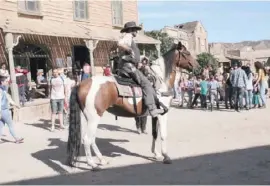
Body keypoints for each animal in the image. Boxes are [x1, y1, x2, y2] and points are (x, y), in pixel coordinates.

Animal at [66, 41, 199, 171]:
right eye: (187, 53)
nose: (198, 67)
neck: (160, 81)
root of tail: (80, 84)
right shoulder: (163, 114)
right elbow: (163, 135)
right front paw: (166, 156)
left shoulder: (155, 115)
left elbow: (155, 134)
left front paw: (156, 154)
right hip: (94, 117)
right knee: (87, 139)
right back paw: (92, 164)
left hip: (91, 118)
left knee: (92, 139)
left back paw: (101, 160)